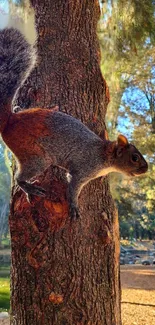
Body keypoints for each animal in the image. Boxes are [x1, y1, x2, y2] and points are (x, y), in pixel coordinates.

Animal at [0, 28, 148, 218]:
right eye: (134, 158)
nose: (146, 168)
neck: (103, 155)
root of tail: (10, 122)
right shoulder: (82, 170)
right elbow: (72, 189)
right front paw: (74, 207)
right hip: (36, 156)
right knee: (20, 178)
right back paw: (30, 188)